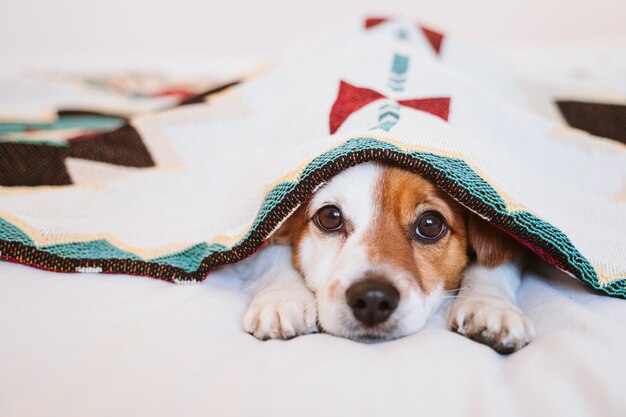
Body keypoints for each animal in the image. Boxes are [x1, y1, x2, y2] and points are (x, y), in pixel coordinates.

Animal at [239, 161, 532, 352]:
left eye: (430, 224)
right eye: (330, 217)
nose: (372, 298)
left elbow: (495, 263)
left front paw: (490, 305)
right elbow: (269, 252)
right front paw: (282, 296)